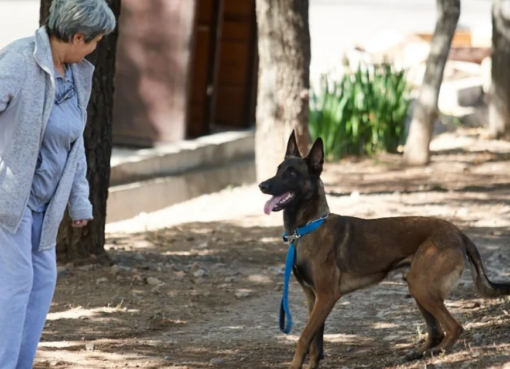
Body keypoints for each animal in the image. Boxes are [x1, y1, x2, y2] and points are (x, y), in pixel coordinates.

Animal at [258, 131, 510, 366]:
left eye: (291, 173)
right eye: (278, 169)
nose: (262, 185)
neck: (308, 227)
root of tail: (459, 233)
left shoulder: (327, 297)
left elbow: (303, 339)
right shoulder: (313, 297)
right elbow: (315, 346)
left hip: (421, 286)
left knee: (454, 327)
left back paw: (434, 353)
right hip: (417, 285)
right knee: (436, 331)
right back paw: (418, 353)